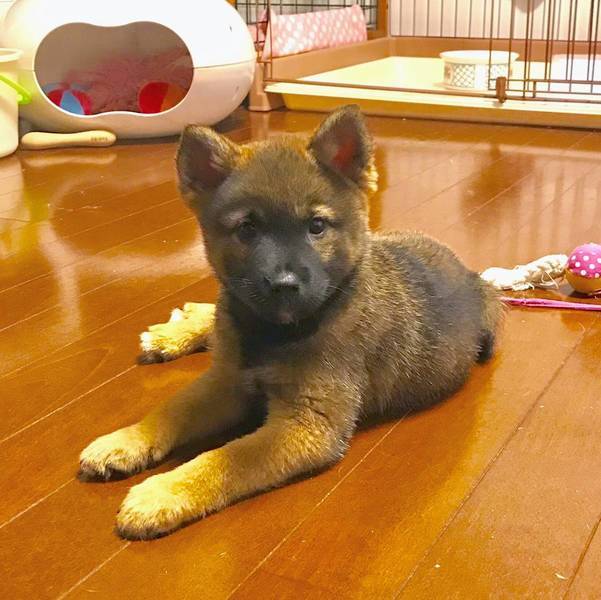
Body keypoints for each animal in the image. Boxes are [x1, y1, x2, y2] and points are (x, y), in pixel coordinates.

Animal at [79, 105, 502, 540]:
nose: (284, 284)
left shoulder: (307, 425)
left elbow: (227, 457)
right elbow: (171, 409)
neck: (271, 332)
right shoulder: (227, 380)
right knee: (216, 316)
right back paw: (176, 330)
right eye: (247, 228)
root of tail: (472, 275)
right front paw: (127, 440)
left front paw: (165, 491)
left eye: (316, 226)